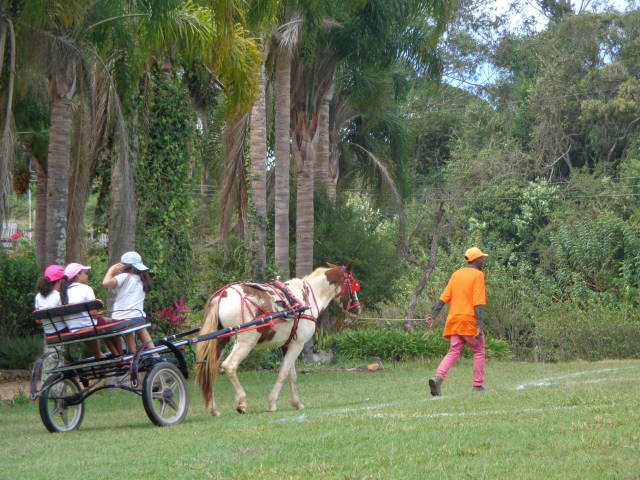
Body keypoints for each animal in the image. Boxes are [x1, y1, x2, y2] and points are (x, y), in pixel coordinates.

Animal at [195, 260, 362, 414]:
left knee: (209, 369)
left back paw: (213, 408)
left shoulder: (287, 344)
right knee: (229, 366)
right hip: (246, 342)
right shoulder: (298, 344)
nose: (358, 308)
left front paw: (296, 403)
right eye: (353, 283)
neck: (305, 299)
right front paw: (272, 403)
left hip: (220, 341)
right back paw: (241, 402)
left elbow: (291, 374)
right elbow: (283, 373)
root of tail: (222, 294)